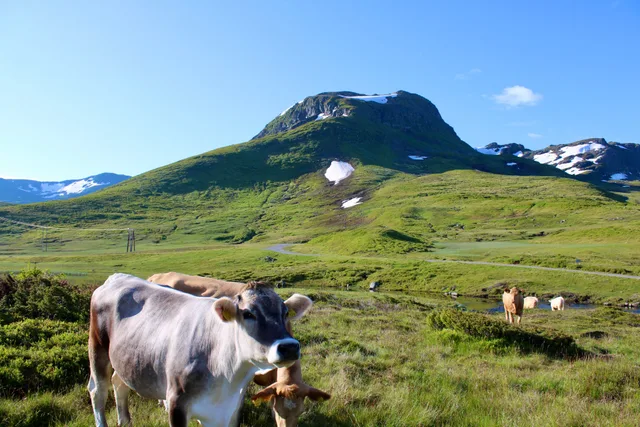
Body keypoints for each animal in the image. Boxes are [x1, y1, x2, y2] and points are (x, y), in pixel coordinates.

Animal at [88, 273, 312, 427]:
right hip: (97, 348)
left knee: (119, 383)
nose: (289, 347)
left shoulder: (229, 409)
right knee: (97, 391)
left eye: (285, 313)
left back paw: (125, 421)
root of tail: (118, 277)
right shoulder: (177, 403)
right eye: (248, 313)